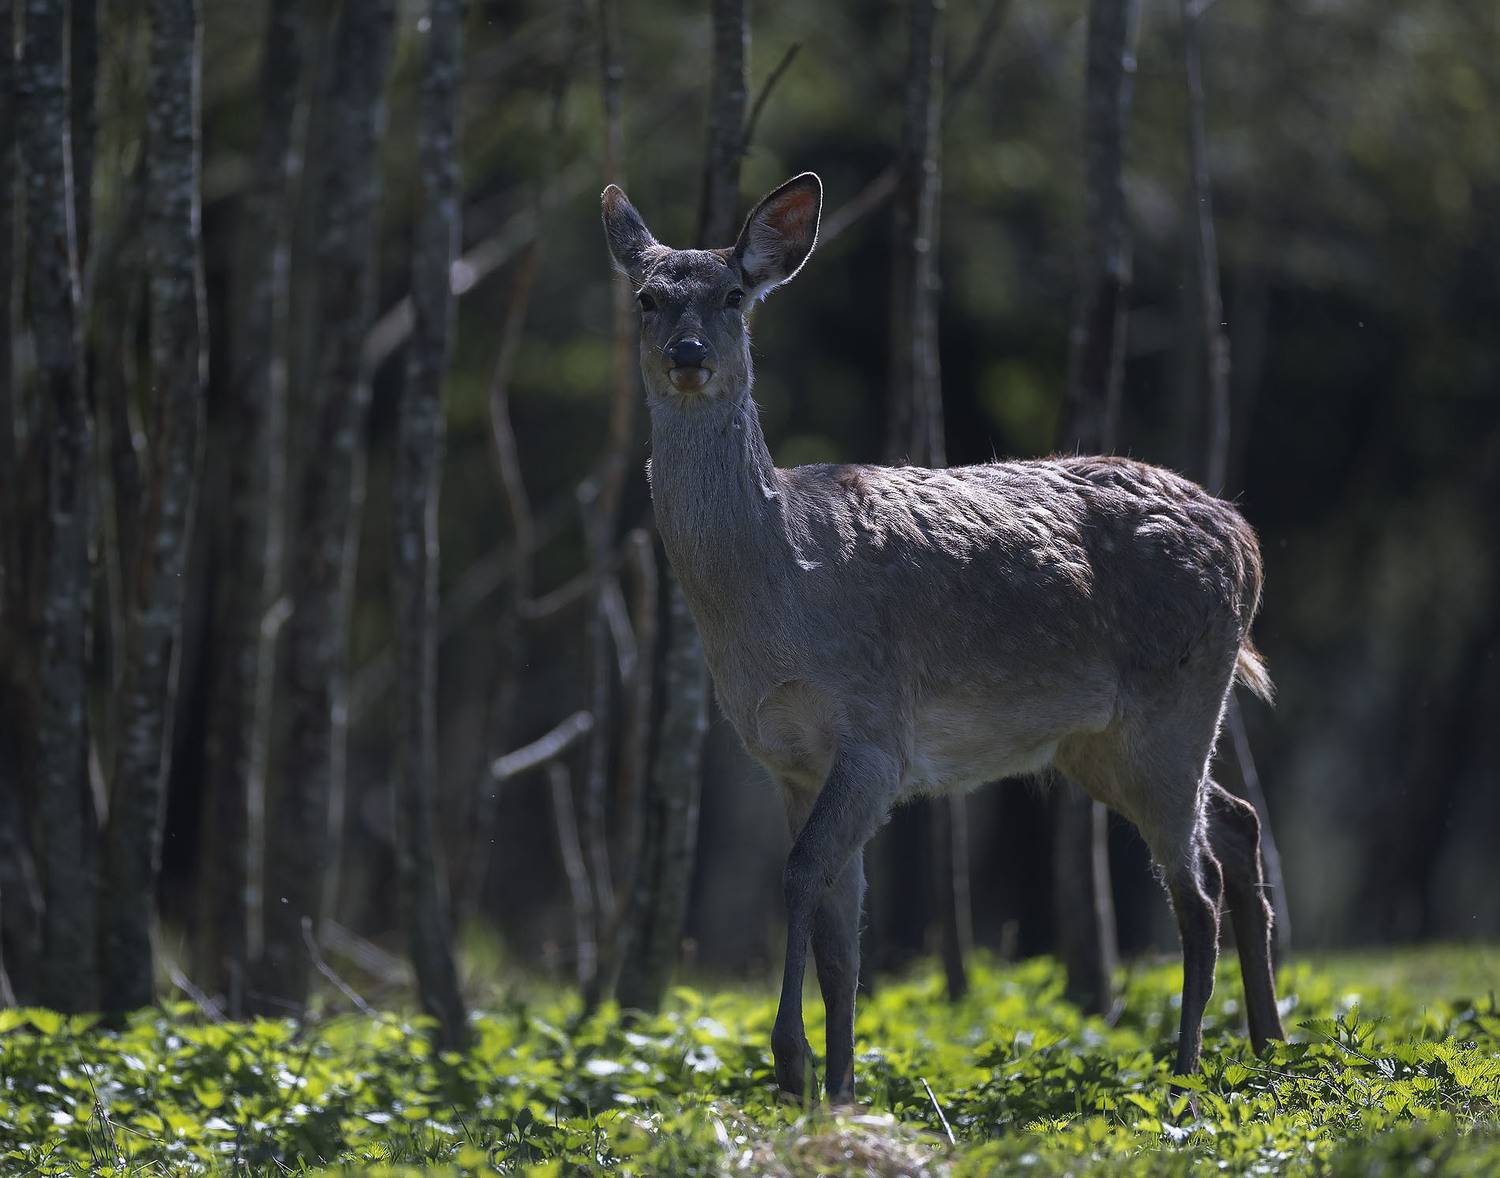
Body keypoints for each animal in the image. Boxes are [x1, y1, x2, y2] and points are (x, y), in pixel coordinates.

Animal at [601, 171, 1287, 1105]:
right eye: (647, 297)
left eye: (734, 295)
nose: (689, 353)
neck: (779, 588)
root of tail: (1246, 539)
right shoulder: (788, 759)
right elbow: (840, 938)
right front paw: (839, 1088)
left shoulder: (874, 732)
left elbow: (800, 876)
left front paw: (791, 1063)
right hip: (1106, 740)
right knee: (1240, 823)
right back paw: (1268, 1046)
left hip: (1175, 699)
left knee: (1199, 885)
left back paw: (1183, 1070)